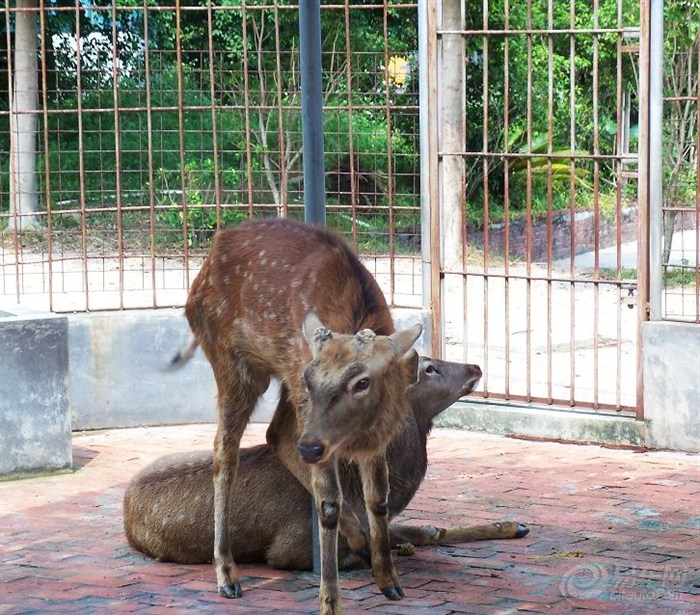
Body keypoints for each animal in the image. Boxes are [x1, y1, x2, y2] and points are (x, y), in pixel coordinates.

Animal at [180, 219, 422, 612]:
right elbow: (328, 502)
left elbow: (378, 496)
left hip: (280, 379)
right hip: (234, 361)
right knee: (225, 449)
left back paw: (357, 538)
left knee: (276, 434)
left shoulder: (371, 434)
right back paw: (227, 575)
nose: (312, 448)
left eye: (363, 382)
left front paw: (389, 581)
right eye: (313, 379)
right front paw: (329, 602)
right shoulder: (303, 393)